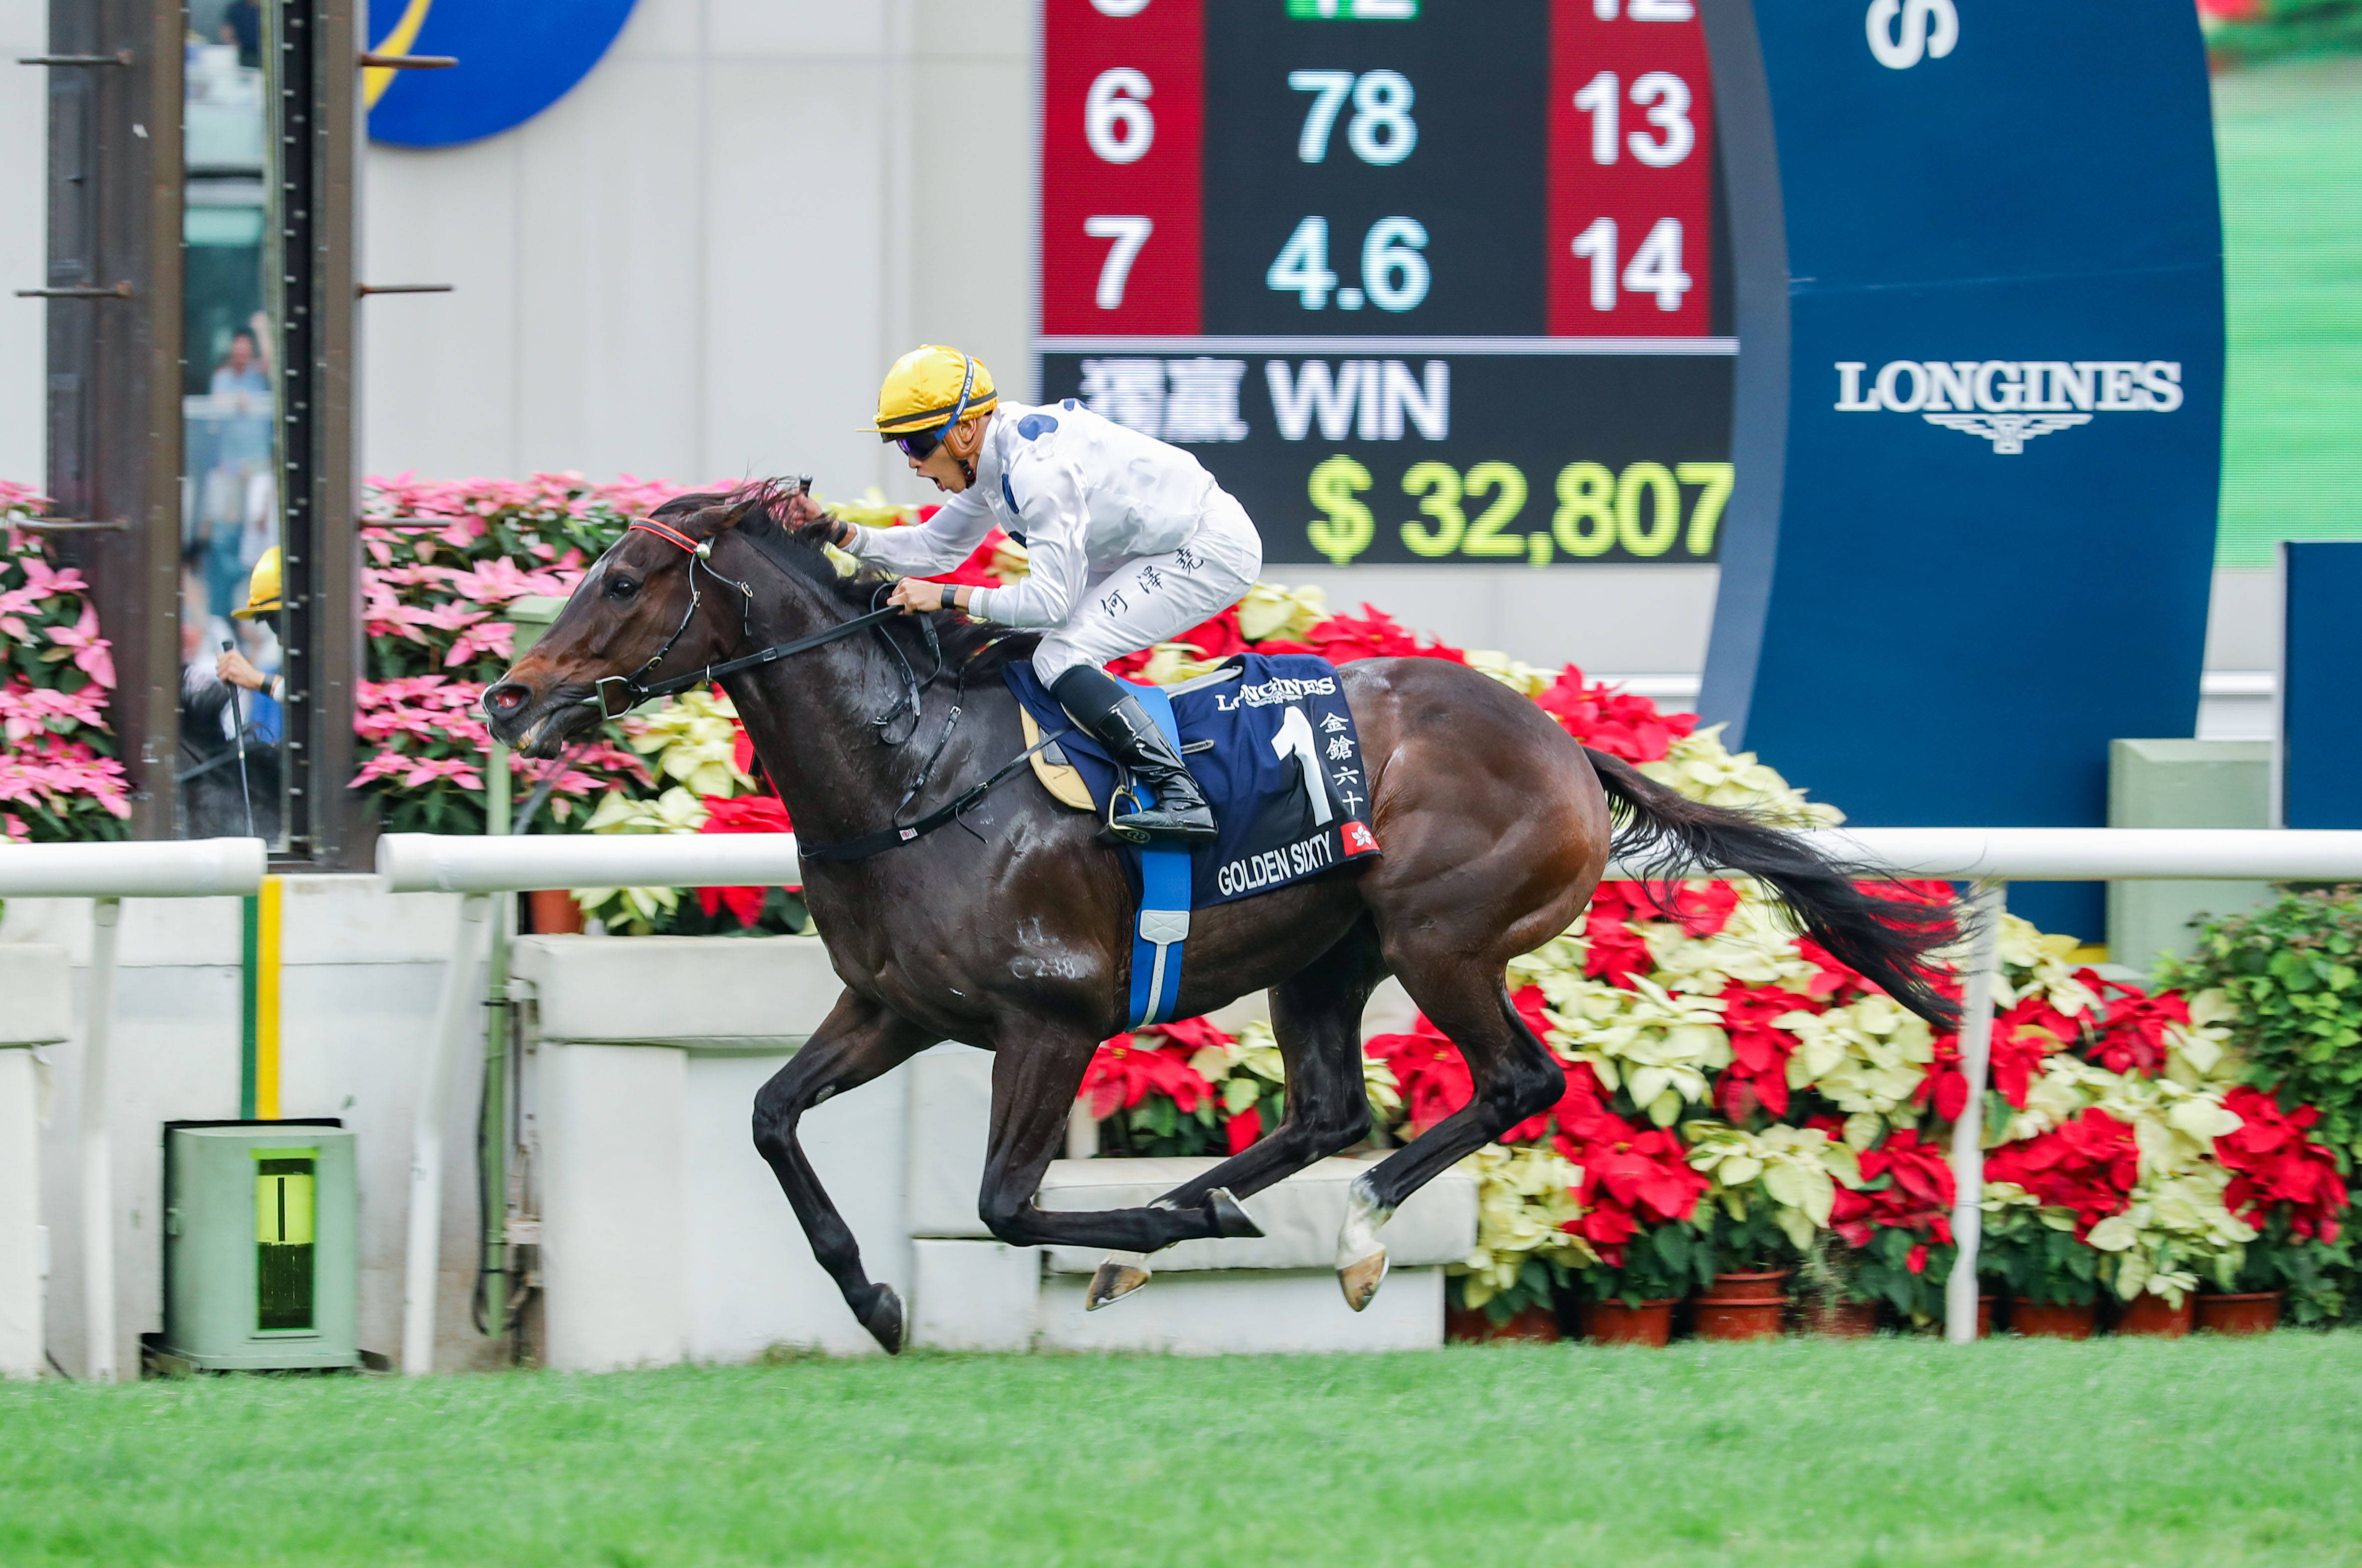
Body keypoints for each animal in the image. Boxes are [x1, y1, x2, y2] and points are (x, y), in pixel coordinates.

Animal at [479, 484, 1956, 1351]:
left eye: (622, 581)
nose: (507, 695)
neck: (913, 775)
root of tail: (1559, 740)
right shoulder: (894, 1005)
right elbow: (769, 1116)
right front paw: (874, 1296)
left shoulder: (1050, 1017)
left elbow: (1006, 1203)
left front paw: (1146, 1238)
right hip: (1324, 957)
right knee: (1326, 1110)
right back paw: (1221, 1214)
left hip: (1438, 937)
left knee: (1509, 1083)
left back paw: (1340, 1234)